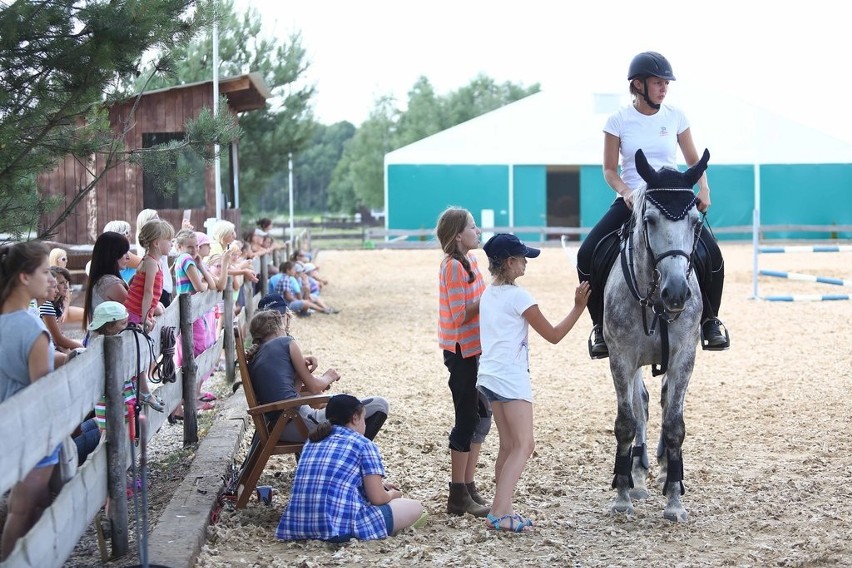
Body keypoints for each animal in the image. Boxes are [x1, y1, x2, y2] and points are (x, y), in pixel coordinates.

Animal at [604, 149, 708, 520]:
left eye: (696, 221)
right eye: (649, 220)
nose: (676, 292)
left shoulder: (684, 356)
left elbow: (675, 425)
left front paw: (675, 501)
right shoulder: (621, 357)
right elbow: (626, 421)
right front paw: (622, 495)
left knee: (661, 402)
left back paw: (664, 469)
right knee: (642, 405)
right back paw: (637, 474)